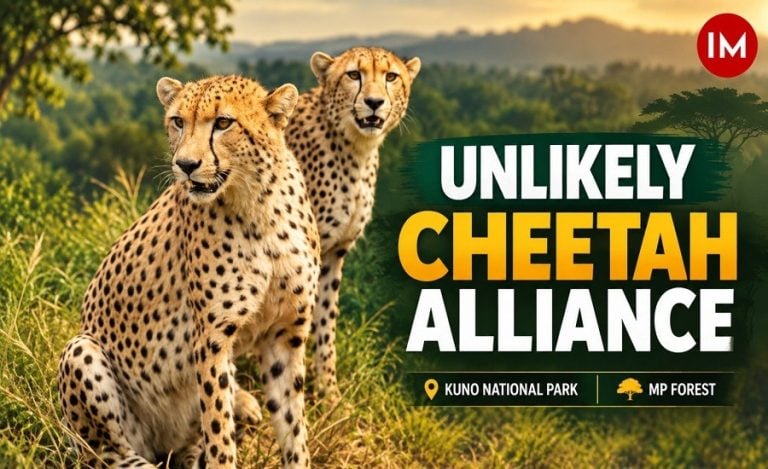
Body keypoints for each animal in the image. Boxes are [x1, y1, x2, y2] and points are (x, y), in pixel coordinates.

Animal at [57, 74, 320, 468]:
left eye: (224, 122)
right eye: (178, 121)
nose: (185, 164)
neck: (259, 205)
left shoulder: (285, 333)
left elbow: (293, 425)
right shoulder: (211, 339)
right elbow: (219, 429)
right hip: (82, 353)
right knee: (108, 454)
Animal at [284, 47, 421, 399]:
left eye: (391, 76)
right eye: (354, 75)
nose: (374, 102)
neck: (356, 147)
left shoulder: (334, 253)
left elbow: (326, 322)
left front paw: (329, 393)